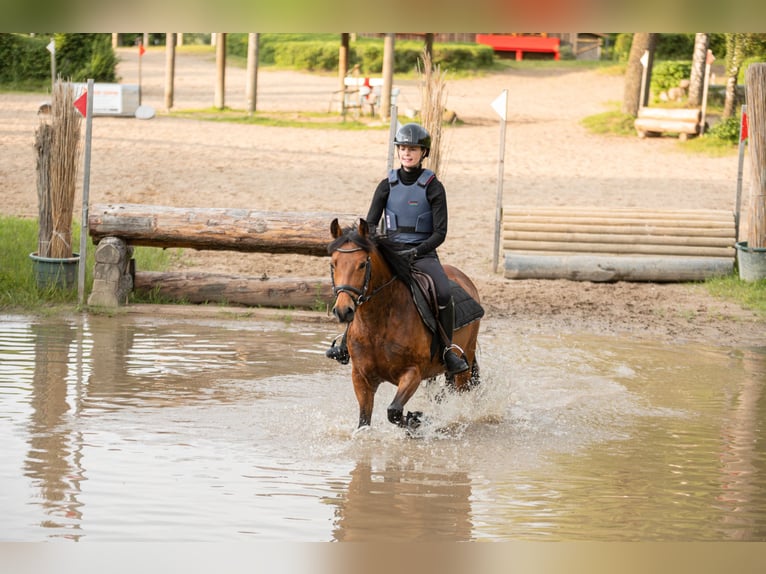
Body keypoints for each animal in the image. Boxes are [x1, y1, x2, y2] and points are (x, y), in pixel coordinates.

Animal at [328, 220, 484, 432]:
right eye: (333, 263)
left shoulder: (413, 372)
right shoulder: (361, 376)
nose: (343, 311)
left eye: (362, 264)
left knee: (459, 389)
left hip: (465, 361)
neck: (377, 325)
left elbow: (393, 411)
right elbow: (364, 420)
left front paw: (417, 420)